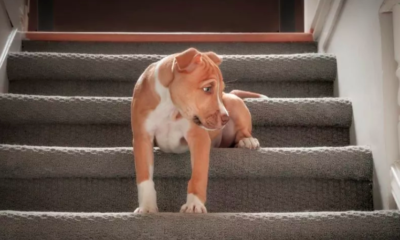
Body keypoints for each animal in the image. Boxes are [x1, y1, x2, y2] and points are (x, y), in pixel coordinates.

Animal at [131, 47, 268, 213]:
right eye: (207, 89)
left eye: (220, 90)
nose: (226, 118)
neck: (170, 107)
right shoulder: (142, 138)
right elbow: (144, 176)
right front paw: (147, 207)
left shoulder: (198, 138)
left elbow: (198, 175)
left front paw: (194, 204)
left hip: (234, 103)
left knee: (243, 130)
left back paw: (247, 141)